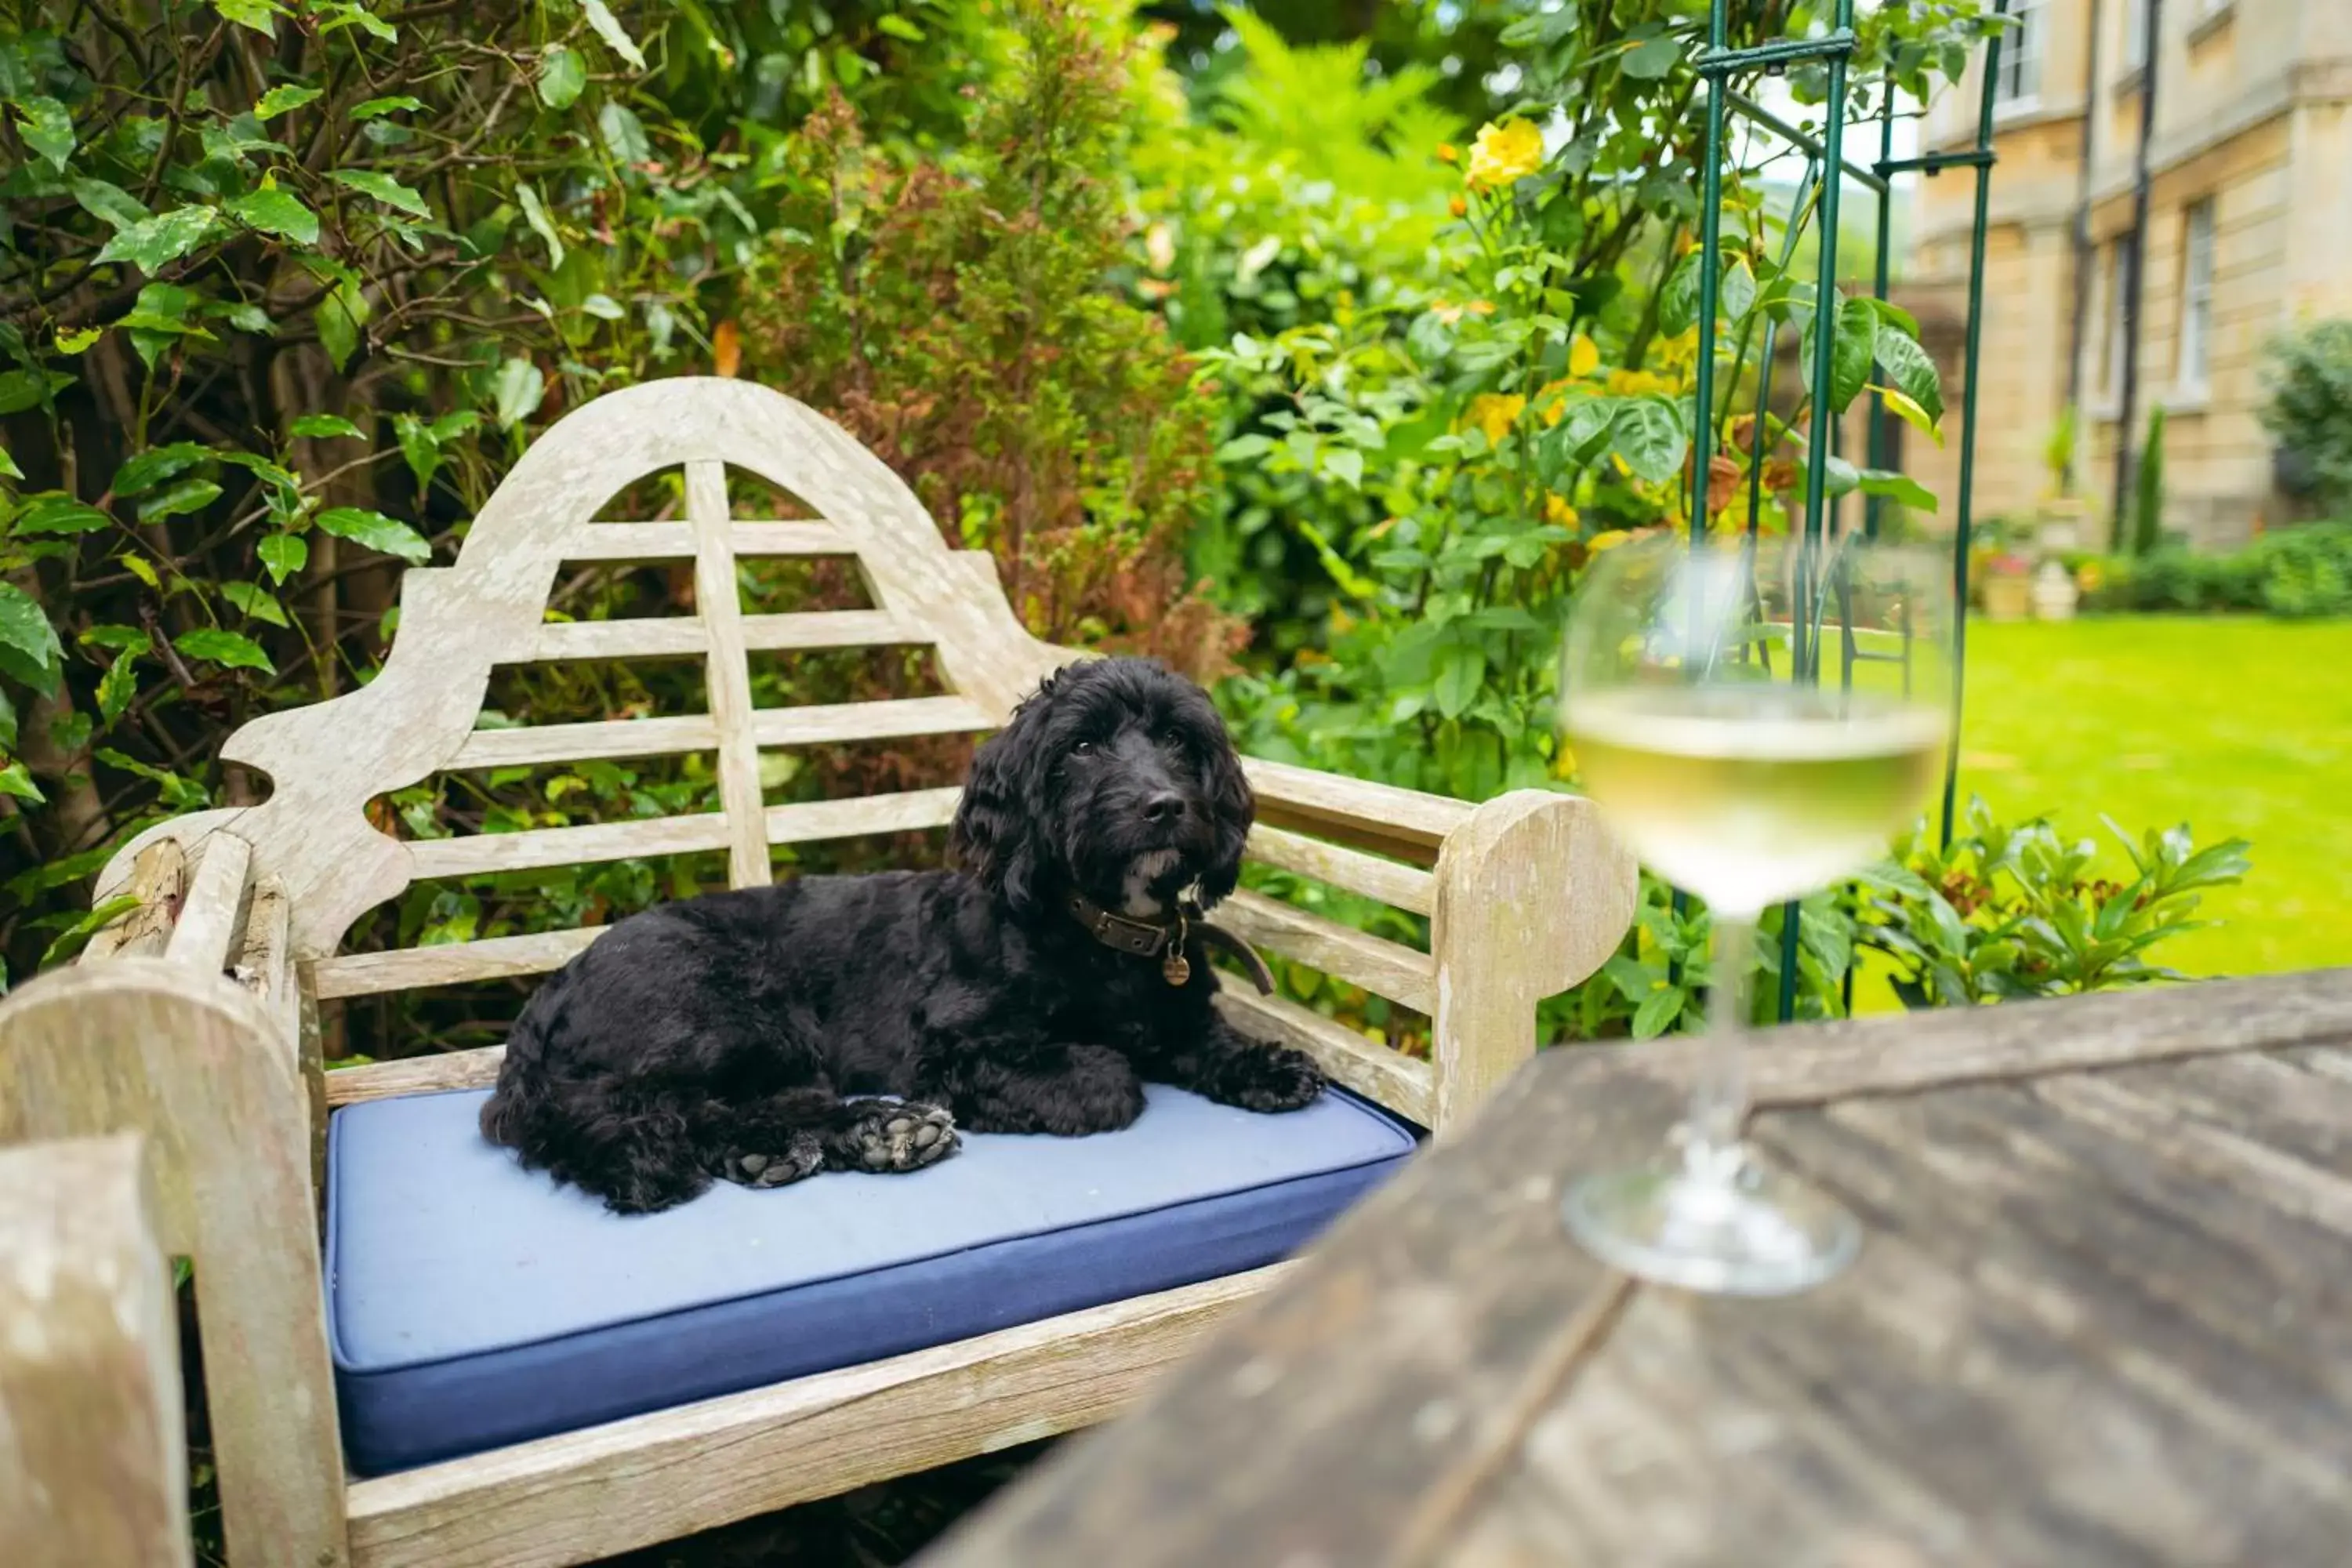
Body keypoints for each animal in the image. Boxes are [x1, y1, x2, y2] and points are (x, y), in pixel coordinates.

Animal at [482, 658, 1327, 1222]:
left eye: (1179, 739)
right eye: (1082, 747)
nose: (1164, 805)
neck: (1101, 930)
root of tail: (553, 990)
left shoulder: (1175, 1012)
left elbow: (1205, 1039)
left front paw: (1268, 1063)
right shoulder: (953, 1050)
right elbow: (1107, 1076)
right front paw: (1108, 1068)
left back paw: (828, 1142)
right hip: (729, 1011)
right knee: (649, 1106)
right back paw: (876, 1127)